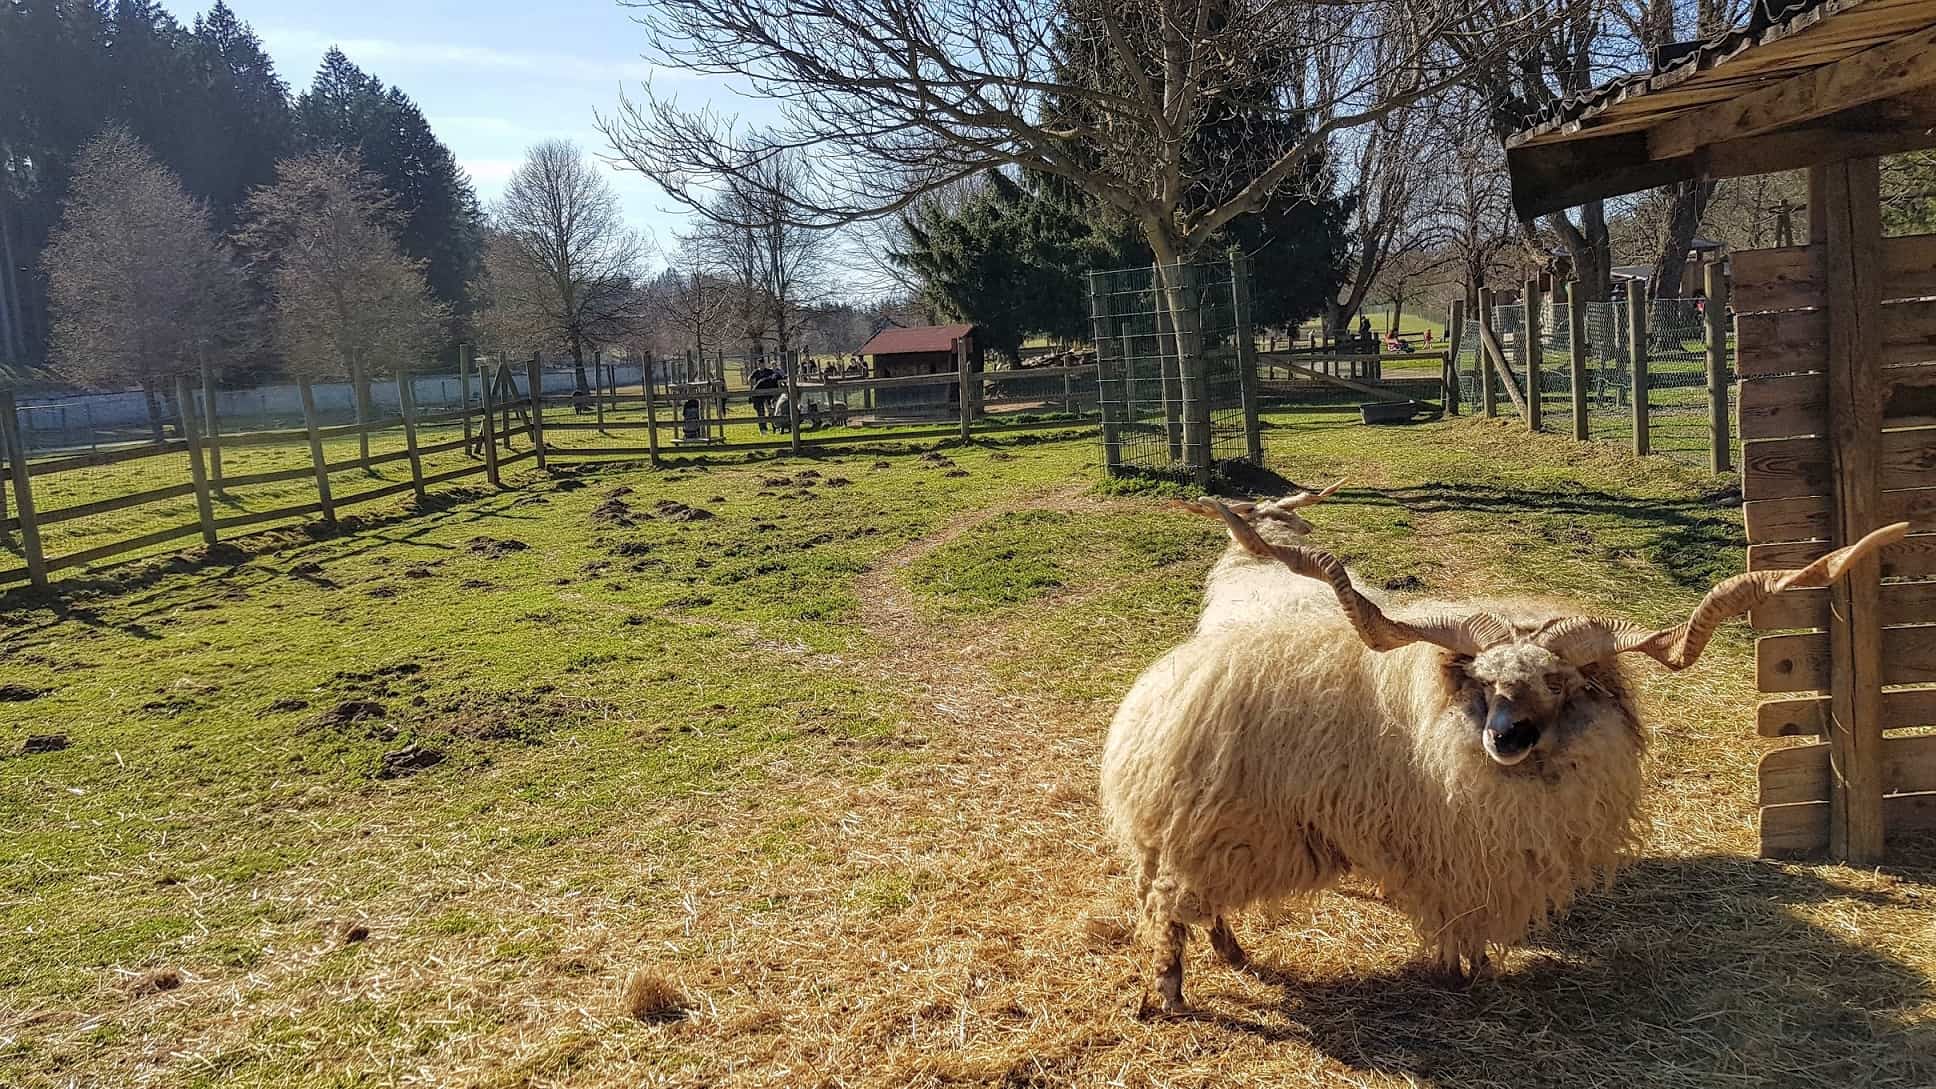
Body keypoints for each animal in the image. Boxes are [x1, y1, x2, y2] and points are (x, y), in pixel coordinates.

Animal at [1107, 499, 1905, 1007]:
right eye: (1485, 681)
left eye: (1560, 681)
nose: (1504, 737)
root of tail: (1148, 707)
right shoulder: (1457, 848)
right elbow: (1462, 916)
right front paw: (1465, 970)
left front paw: (1475, 967)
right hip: (1208, 830)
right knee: (1167, 906)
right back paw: (1172, 995)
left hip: (1216, 835)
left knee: (1196, 902)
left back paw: (1231, 954)